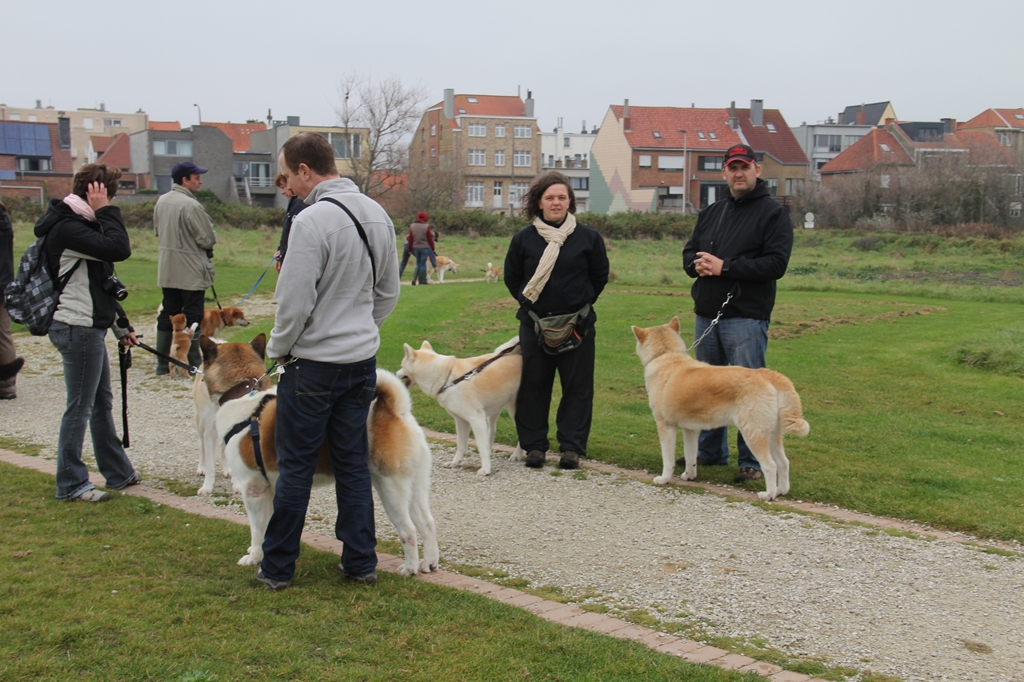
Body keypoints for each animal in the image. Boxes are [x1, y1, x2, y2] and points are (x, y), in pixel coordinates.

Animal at [207, 333, 440, 573]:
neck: (244, 396)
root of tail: (395, 411)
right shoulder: (270, 489)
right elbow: (268, 526)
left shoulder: (253, 488)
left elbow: (256, 529)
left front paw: (254, 557)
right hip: (415, 486)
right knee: (427, 523)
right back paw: (428, 563)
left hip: (391, 488)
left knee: (408, 530)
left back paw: (409, 568)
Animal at [395, 333, 524, 473]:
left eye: (402, 365)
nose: (395, 374)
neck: (447, 379)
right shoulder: (461, 420)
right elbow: (461, 446)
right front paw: (455, 463)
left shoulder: (476, 419)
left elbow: (481, 447)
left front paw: (486, 469)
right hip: (495, 409)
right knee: (492, 431)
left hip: (514, 411)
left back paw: (517, 455)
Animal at [626, 315, 811, 499]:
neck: (666, 354)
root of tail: (768, 375)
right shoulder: (689, 429)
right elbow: (690, 455)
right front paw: (689, 476)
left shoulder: (665, 426)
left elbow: (668, 459)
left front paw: (664, 479)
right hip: (772, 433)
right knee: (784, 463)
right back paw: (781, 491)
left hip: (753, 433)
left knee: (770, 465)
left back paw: (769, 495)